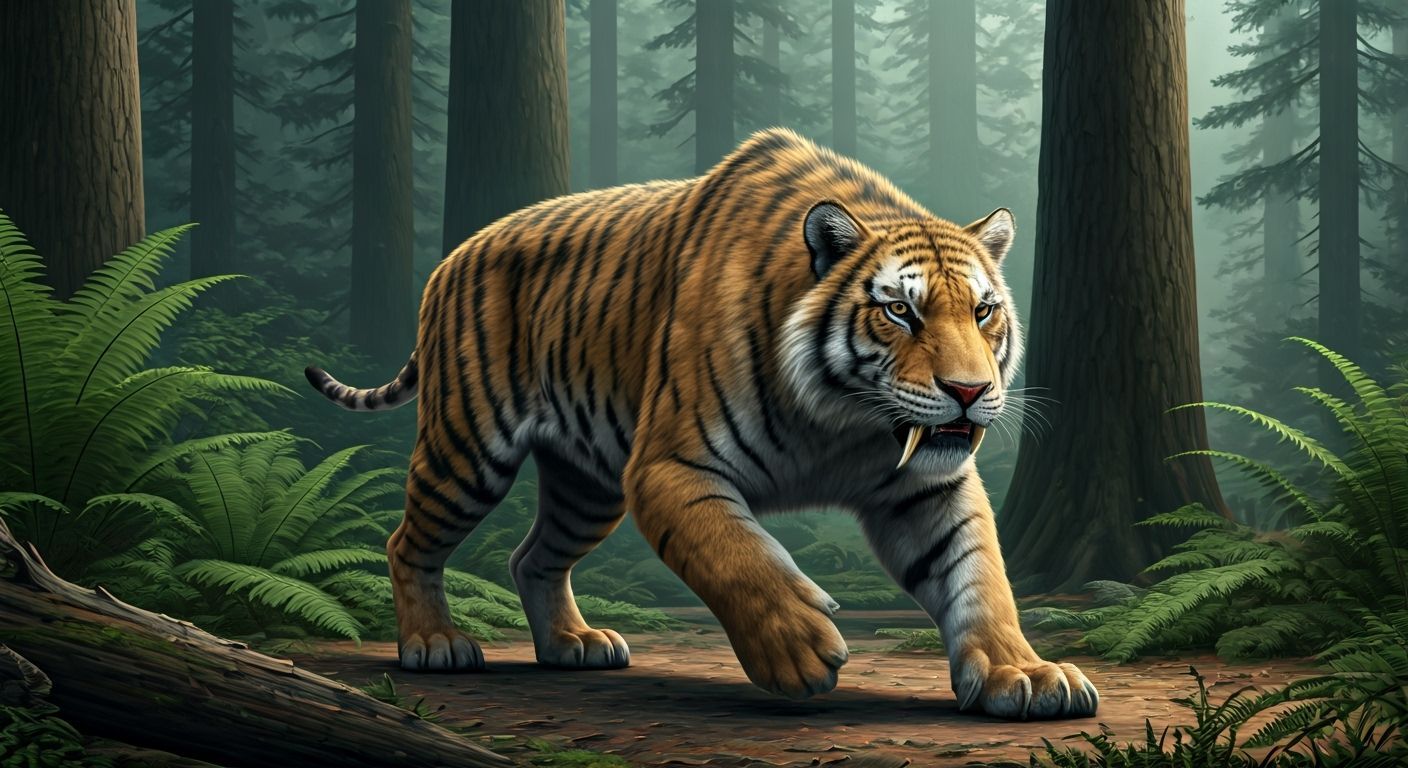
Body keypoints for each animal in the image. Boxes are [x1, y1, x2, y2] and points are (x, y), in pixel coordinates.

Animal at [306, 128, 1098, 719]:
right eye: (901, 310)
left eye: (983, 311)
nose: (970, 390)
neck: (844, 421)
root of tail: (450, 259)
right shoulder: (667, 464)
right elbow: (734, 553)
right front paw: (800, 647)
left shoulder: (929, 488)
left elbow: (978, 575)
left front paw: (1022, 675)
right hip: (467, 451)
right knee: (406, 541)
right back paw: (435, 644)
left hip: (587, 484)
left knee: (531, 557)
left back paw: (573, 643)